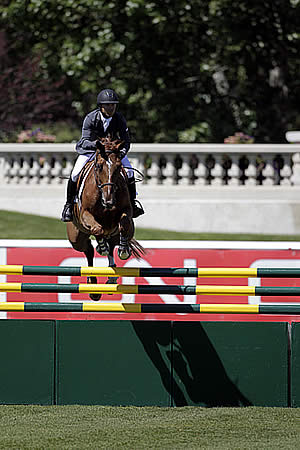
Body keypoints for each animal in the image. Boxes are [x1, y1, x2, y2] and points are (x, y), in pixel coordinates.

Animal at [66, 137, 145, 298]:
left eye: (118, 167)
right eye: (98, 166)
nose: (108, 201)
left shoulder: (126, 212)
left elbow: (123, 224)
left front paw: (123, 250)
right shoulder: (85, 214)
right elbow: (98, 229)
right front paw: (101, 247)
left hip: (117, 233)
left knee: (112, 244)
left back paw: (111, 277)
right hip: (76, 238)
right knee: (88, 249)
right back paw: (93, 284)